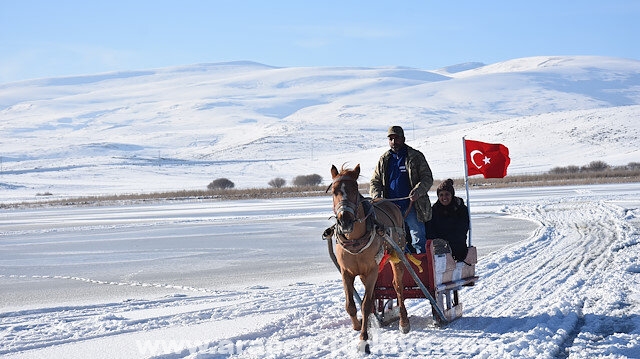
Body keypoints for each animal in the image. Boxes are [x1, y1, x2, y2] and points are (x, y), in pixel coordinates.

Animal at [330, 164, 410, 354]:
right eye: (334, 191)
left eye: (354, 189)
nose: (345, 220)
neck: (354, 239)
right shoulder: (346, 272)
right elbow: (351, 305)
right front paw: (357, 326)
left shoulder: (372, 270)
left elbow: (365, 305)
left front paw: (364, 339)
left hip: (397, 256)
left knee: (398, 286)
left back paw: (403, 321)